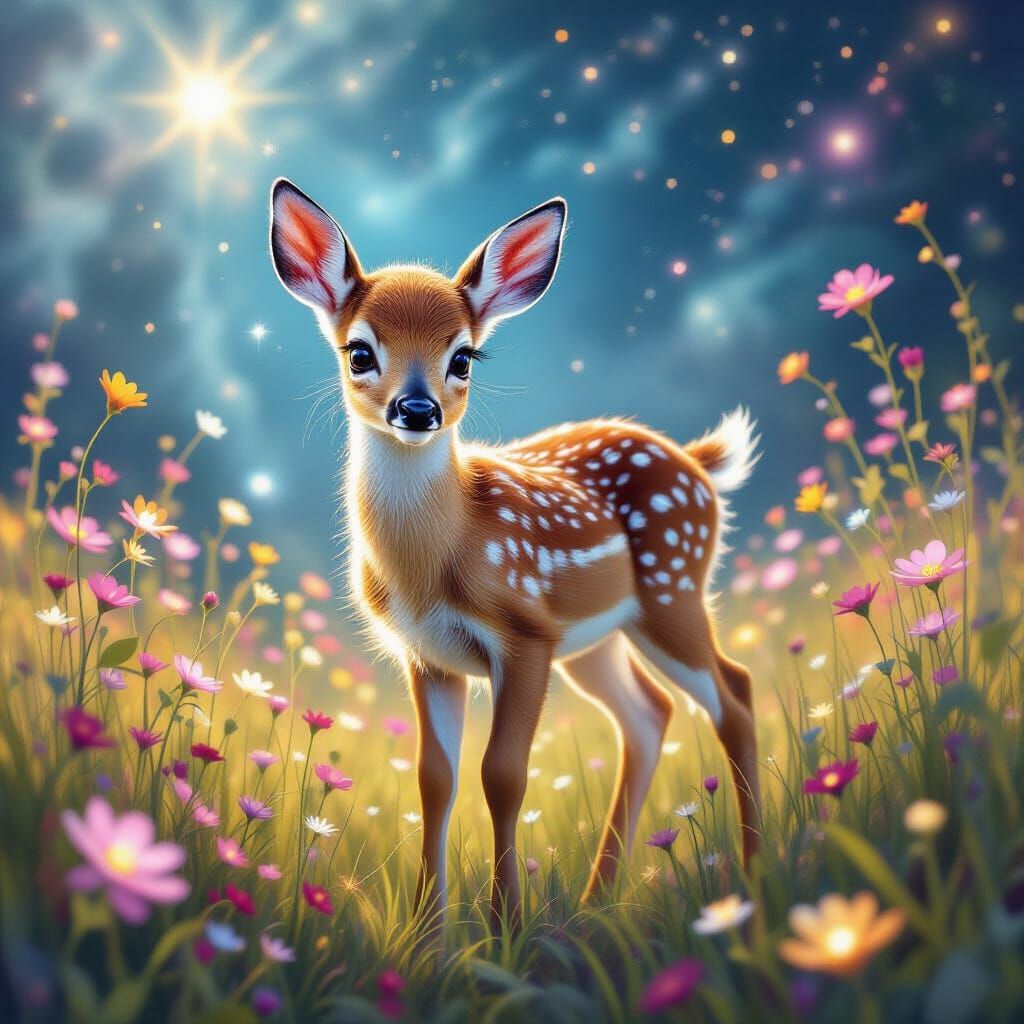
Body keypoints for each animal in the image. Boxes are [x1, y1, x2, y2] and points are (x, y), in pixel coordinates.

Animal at [268, 178, 762, 930]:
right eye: (360, 352)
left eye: (463, 357)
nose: (417, 410)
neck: (437, 560)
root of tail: (697, 463)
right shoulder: (428, 655)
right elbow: (434, 780)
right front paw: (429, 935)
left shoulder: (525, 634)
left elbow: (502, 775)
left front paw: (504, 929)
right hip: (595, 641)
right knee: (648, 715)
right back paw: (595, 903)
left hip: (671, 590)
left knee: (734, 691)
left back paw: (760, 873)